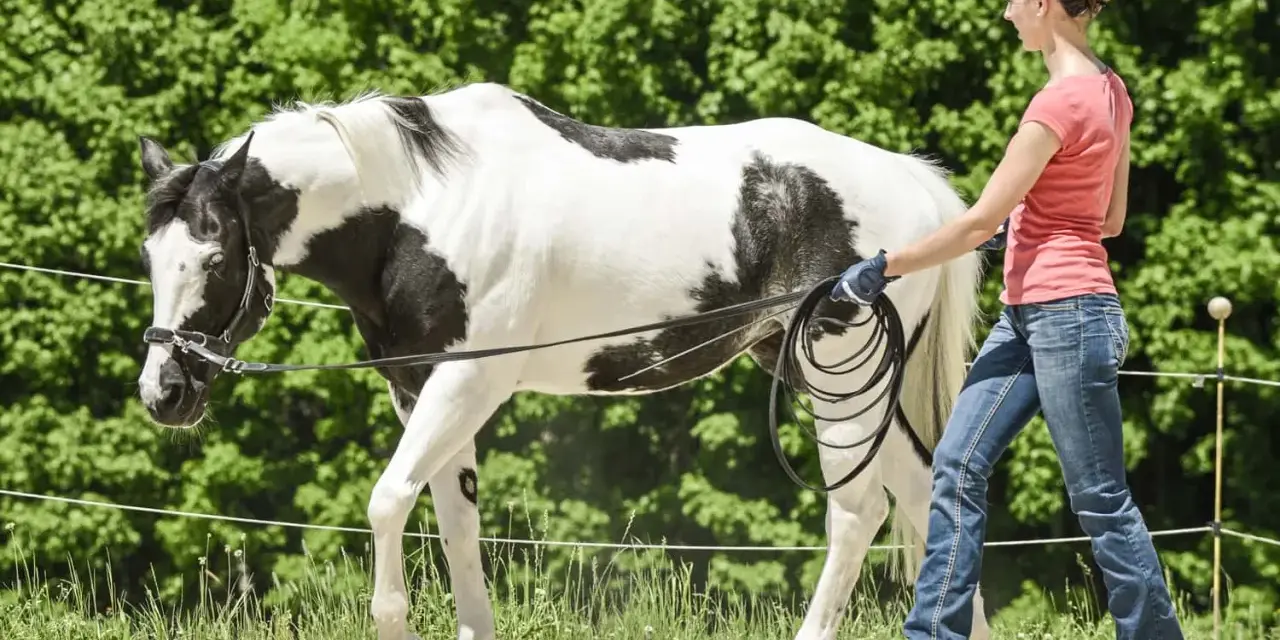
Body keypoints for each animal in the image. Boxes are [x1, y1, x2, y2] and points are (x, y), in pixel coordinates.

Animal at [133, 81, 988, 640]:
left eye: (213, 257)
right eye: (149, 254)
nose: (163, 391)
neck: (421, 209)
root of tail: (914, 184)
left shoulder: (468, 382)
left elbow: (387, 502)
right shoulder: (422, 389)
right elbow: (455, 524)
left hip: (838, 378)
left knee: (858, 512)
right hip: (844, 381)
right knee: (924, 493)